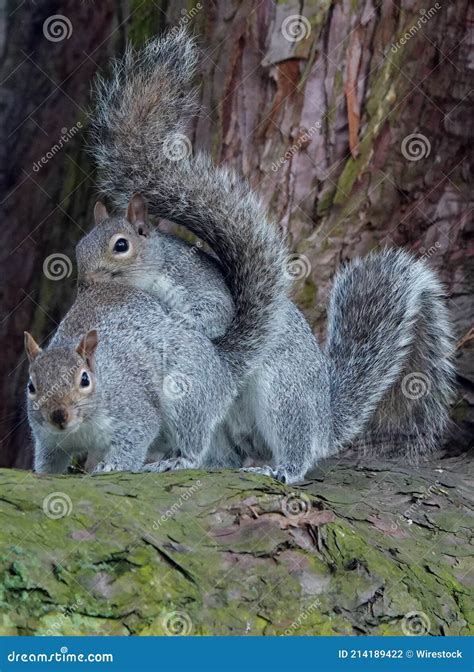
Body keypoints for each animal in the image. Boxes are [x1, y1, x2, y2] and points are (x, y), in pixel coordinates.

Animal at [25, 29, 455, 482]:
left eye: (121, 246)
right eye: (79, 249)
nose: (86, 285)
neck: (152, 270)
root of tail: (325, 421)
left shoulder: (199, 283)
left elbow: (216, 312)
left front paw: (182, 321)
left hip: (284, 396)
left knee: (295, 445)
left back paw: (280, 468)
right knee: (225, 454)